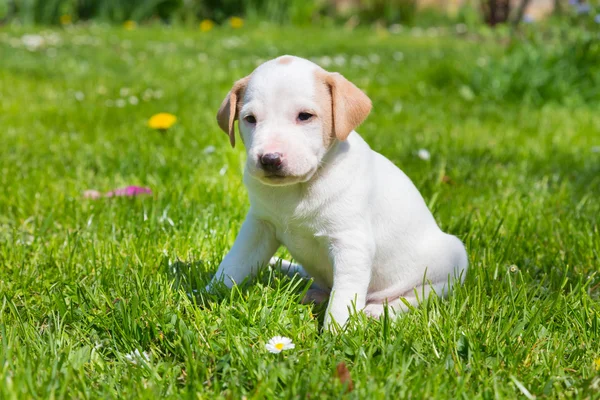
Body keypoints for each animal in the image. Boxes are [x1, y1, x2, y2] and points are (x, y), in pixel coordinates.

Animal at [210, 54, 468, 330]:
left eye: (305, 116)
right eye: (250, 119)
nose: (269, 159)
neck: (298, 190)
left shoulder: (351, 244)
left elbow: (344, 295)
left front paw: (338, 331)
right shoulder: (259, 227)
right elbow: (234, 263)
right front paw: (206, 294)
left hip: (451, 261)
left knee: (417, 297)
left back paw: (378, 310)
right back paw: (313, 294)